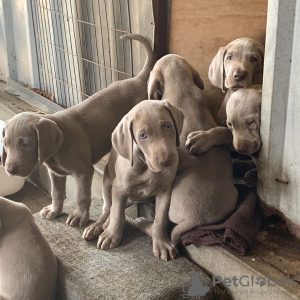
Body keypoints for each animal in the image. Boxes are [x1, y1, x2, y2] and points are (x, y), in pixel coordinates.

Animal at [83, 100, 184, 260]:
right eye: (143, 136)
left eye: (168, 127)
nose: (167, 161)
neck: (147, 167)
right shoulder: (119, 190)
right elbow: (117, 214)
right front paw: (112, 235)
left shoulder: (165, 190)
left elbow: (160, 219)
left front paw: (162, 243)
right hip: (107, 184)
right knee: (108, 209)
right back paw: (98, 226)